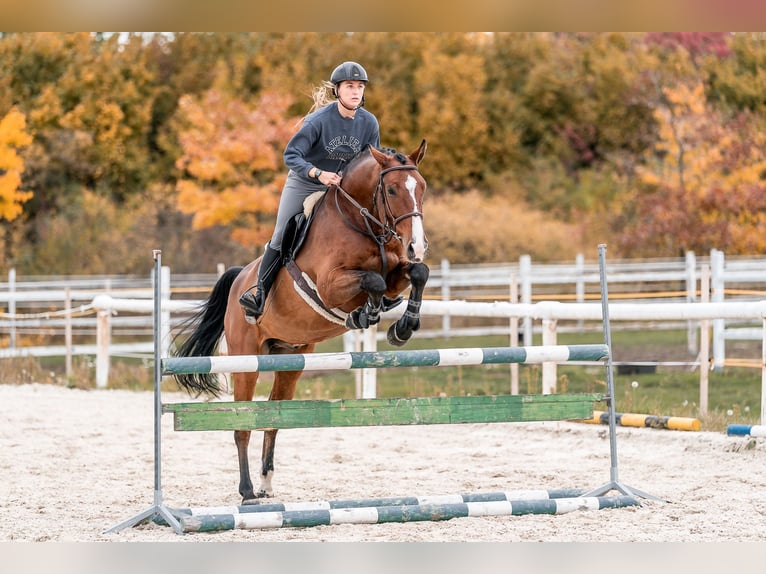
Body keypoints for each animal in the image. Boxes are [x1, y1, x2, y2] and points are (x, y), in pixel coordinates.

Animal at [171, 140, 429, 503]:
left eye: (422, 188)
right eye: (391, 189)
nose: (417, 245)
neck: (360, 222)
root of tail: (239, 279)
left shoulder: (396, 271)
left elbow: (416, 273)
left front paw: (402, 327)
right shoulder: (331, 285)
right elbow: (373, 281)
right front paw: (367, 313)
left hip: (291, 358)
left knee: (273, 414)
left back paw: (266, 483)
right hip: (245, 357)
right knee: (242, 422)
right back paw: (247, 491)